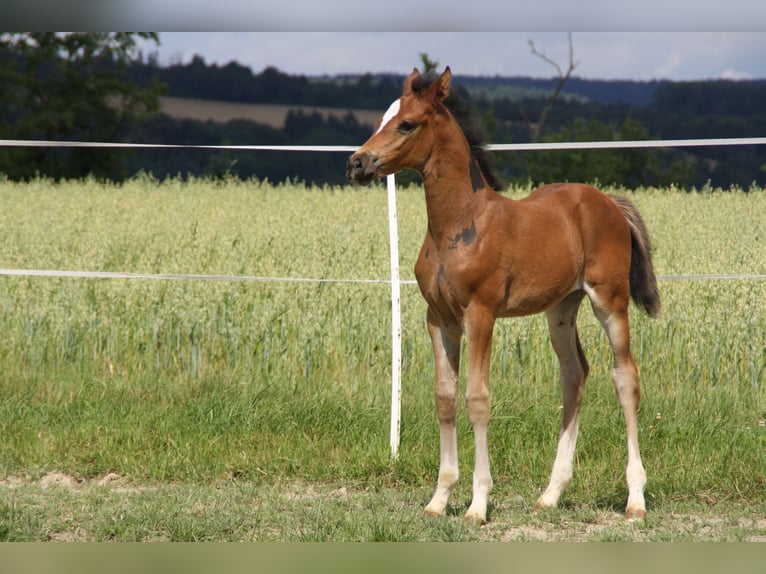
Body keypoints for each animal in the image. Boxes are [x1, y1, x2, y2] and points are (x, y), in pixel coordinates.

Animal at [348, 67, 660, 528]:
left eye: (406, 124)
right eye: (382, 120)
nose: (357, 162)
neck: (459, 224)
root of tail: (607, 202)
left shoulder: (481, 314)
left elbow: (477, 399)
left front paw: (477, 505)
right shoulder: (438, 319)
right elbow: (445, 397)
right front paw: (439, 499)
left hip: (610, 301)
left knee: (625, 377)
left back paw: (635, 499)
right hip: (561, 308)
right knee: (574, 374)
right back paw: (550, 494)